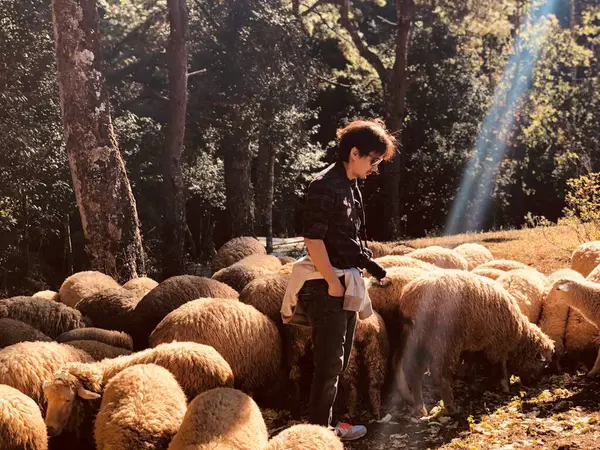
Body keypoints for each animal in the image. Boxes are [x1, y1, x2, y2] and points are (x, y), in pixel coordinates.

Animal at [398, 270, 552, 414]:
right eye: (542, 363)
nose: (534, 383)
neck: (518, 334)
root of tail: (411, 297)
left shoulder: (475, 343)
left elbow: (472, 365)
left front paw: (474, 387)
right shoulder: (497, 343)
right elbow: (500, 364)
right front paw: (504, 385)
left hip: (417, 338)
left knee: (413, 369)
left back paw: (420, 408)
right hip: (445, 340)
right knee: (439, 373)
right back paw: (451, 407)